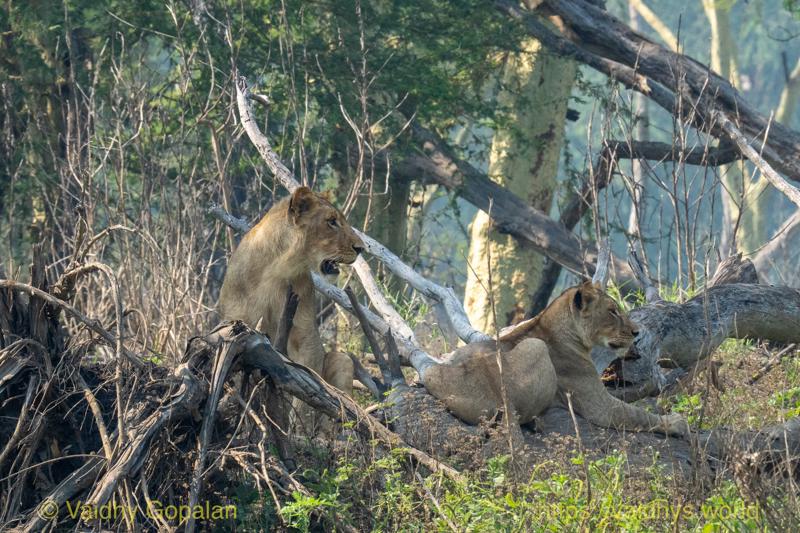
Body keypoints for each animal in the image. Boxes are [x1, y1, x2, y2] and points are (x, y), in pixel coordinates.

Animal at [218, 186, 364, 403]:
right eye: (331, 221)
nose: (361, 248)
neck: (276, 269)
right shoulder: (236, 326)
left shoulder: (306, 339)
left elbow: (311, 390)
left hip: (342, 358)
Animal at [420, 281, 688, 437]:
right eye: (612, 311)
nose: (636, 332)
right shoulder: (598, 404)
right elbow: (638, 415)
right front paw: (677, 423)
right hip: (534, 349)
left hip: (434, 369)